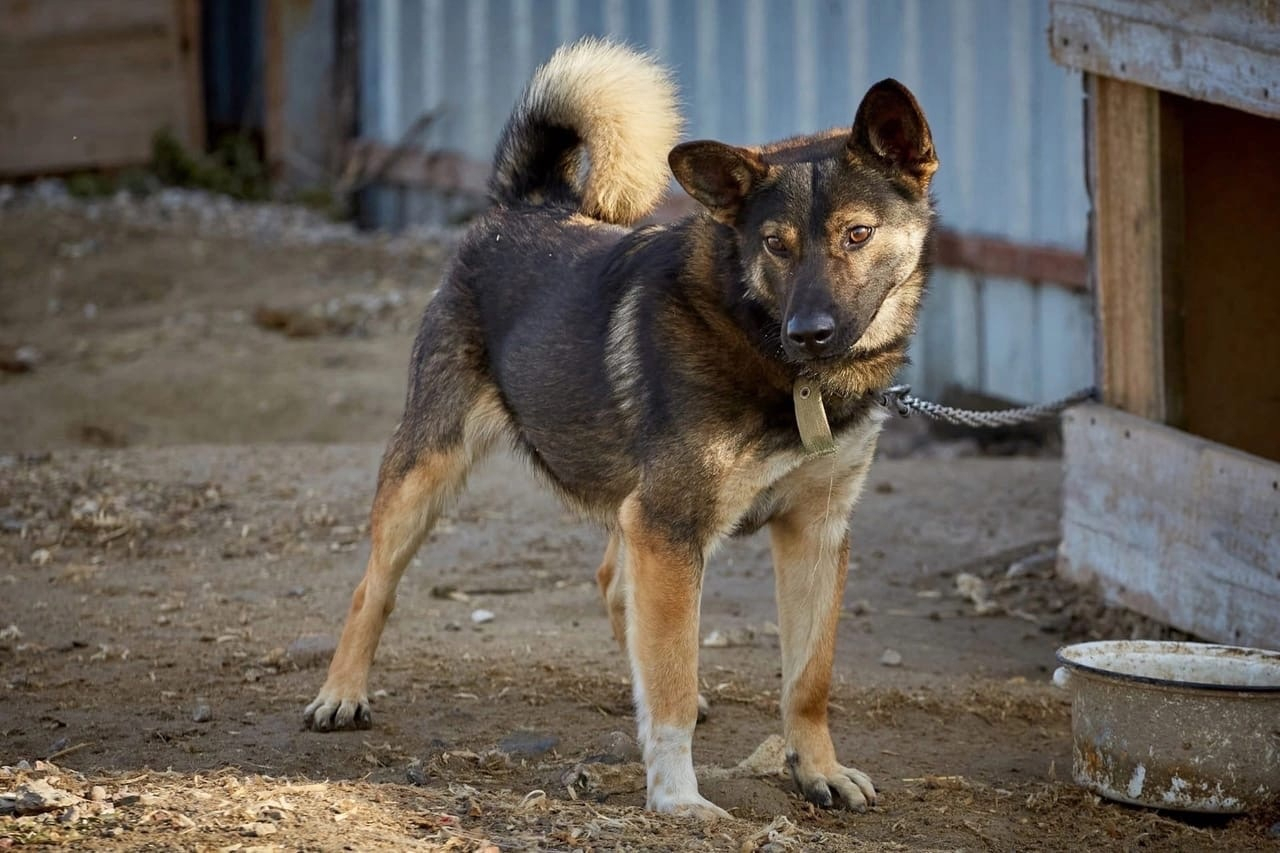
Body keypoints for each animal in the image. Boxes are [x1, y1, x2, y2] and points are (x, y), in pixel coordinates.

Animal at [303, 38, 936, 819]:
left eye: (858, 233)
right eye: (776, 245)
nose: (809, 332)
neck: (766, 347)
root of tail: (524, 204)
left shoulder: (811, 531)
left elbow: (806, 679)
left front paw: (819, 769)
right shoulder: (670, 523)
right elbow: (669, 687)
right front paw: (676, 796)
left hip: (633, 505)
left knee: (615, 583)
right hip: (429, 472)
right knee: (374, 585)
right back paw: (341, 691)